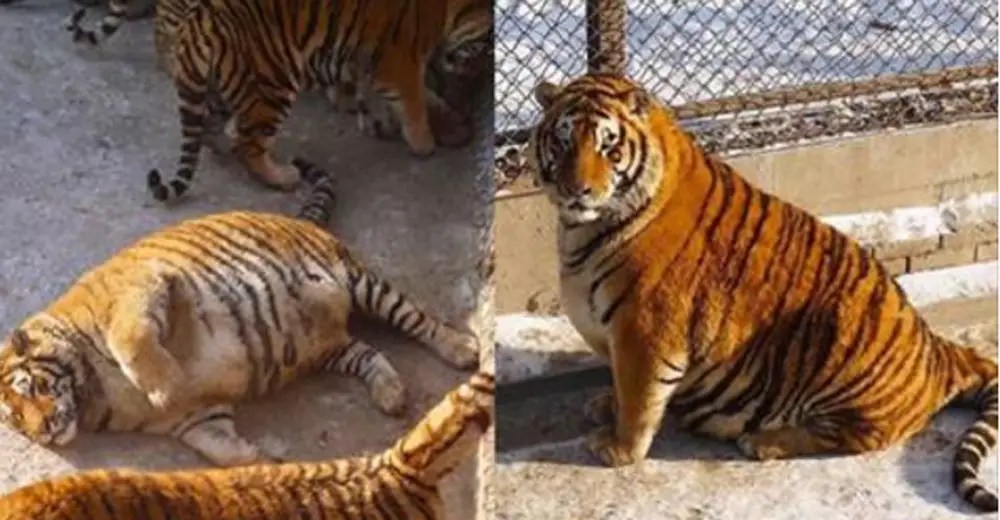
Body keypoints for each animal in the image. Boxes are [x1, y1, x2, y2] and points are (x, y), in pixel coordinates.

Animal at [0, 158, 480, 468]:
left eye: (31, 388)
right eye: (17, 420)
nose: (44, 431)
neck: (93, 396)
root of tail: (302, 220)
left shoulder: (143, 292)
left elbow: (134, 343)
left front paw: (166, 385)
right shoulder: (194, 419)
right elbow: (220, 449)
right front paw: (261, 461)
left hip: (361, 282)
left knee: (418, 319)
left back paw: (463, 348)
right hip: (328, 349)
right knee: (369, 353)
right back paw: (391, 395)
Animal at [62, 0, 492, 202]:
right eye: (484, 47)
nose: (473, 73)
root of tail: (199, 26)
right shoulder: (397, 61)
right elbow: (415, 101)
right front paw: (425, 142)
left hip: (221, 85)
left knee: (215, 130)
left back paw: (221, 145)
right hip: (273, 82)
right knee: (250, 146)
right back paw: (283, 176)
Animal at [528, 73, 996, 512]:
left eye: (609, 147)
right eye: (563, 141)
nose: (576, 190)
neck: (582, 230)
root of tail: (939, 350)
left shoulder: (645, 330)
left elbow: (639, 399)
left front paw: (619, 450)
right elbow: (620, 384)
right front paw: (605, 403)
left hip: (844, 345)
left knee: (854, 436)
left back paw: (764, 441)